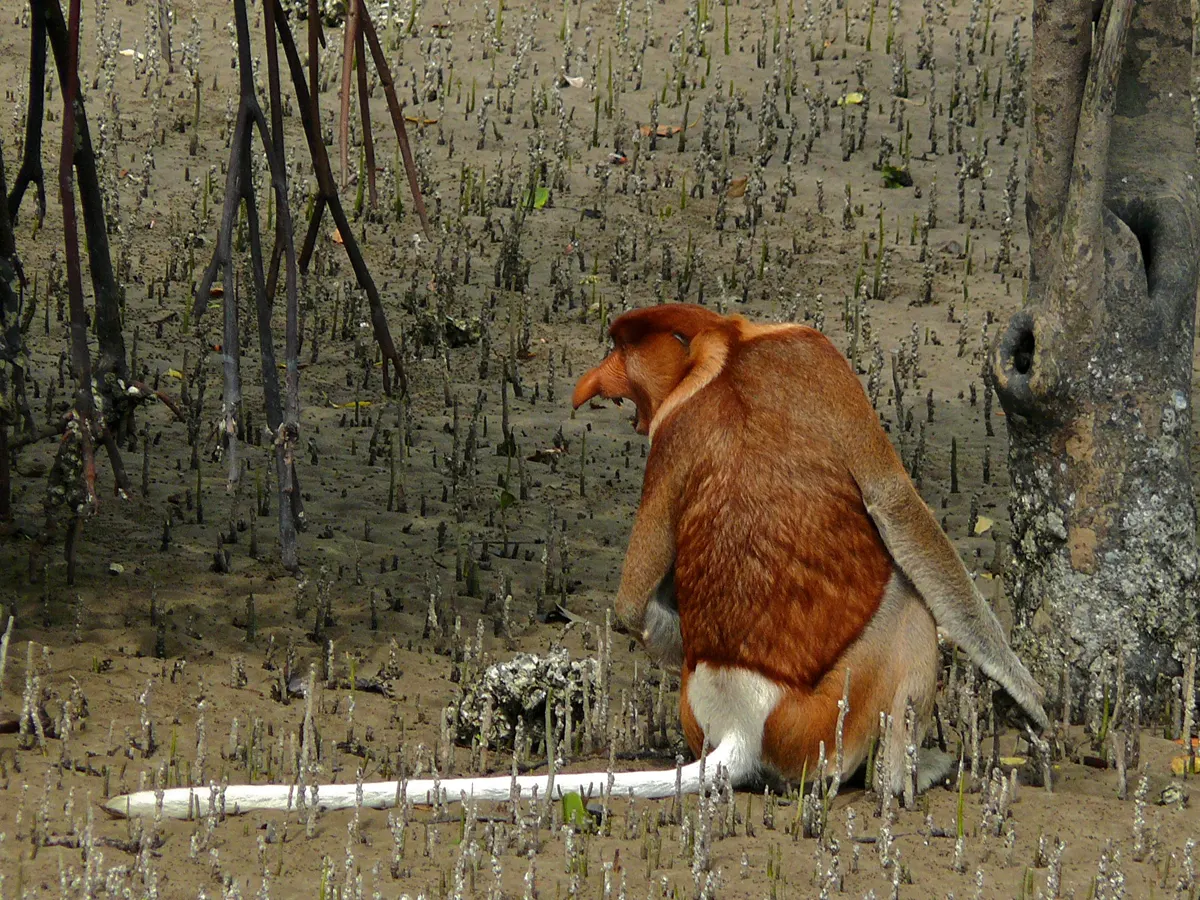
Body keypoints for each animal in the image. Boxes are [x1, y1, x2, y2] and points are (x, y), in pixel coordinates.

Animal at [103, 304, 1046, 820]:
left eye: (624, 353)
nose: (597, 383)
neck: (726, 354)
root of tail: (741, 724)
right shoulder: (818, 355)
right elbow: (899, 505)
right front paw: (1033, 701)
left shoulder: (668, 440)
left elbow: (630, 602)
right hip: (835, 711)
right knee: (911, 608)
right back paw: (910, 775)